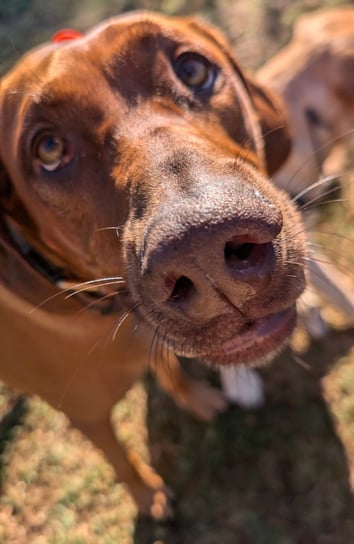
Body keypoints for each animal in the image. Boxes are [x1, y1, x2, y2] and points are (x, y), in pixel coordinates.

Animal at [0, 10, 306, 516]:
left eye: (193, 70)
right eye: (48, 150)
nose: (203, 250)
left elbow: (170, 368)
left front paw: (197, 399)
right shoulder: (85, 413)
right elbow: (118, 456)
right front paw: (148, 495)